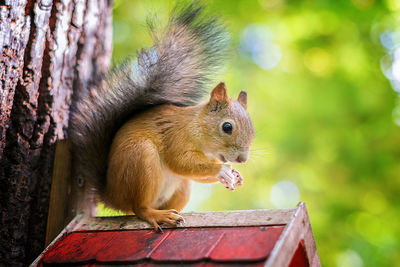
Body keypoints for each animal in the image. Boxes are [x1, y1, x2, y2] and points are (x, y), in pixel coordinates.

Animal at [70, 1, 255, 232]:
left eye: (253, 130)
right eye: (227, 127)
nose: (242, 159)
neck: (198, 128)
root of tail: (112, 195)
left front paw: (236, 177)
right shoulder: (176, 135)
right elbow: (180, 162)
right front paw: (222, 170)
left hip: (182, 187)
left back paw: (173, 215)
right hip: (141, 160)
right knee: (139, 208)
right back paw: (157, 215)